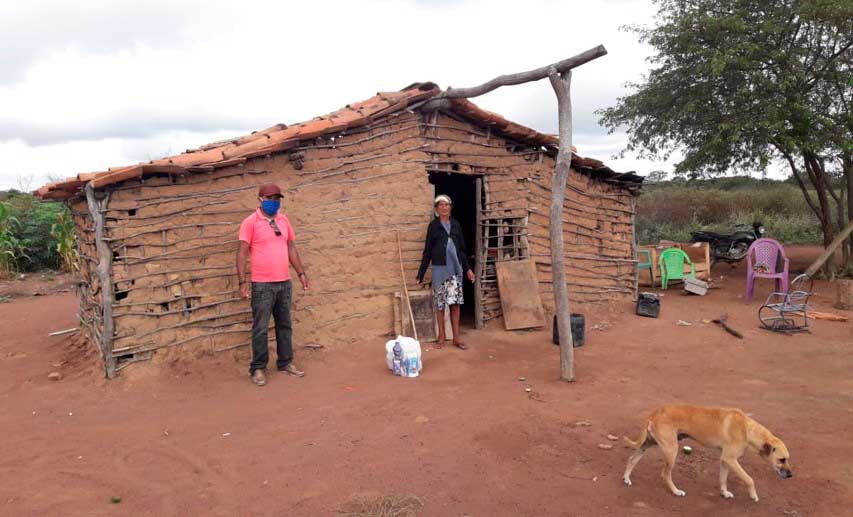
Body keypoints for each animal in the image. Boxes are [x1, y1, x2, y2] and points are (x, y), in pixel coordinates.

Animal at [620, 404, 792, 500]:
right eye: (781, 460)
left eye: (787, 459)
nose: (791, 475)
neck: (747, 429)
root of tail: (654, 413)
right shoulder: (731, 459)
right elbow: (749, 479)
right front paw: (753, 495)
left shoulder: (725, 460)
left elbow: (723, 479)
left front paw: (724, 493)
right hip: (671, 450)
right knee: (665, 474)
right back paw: (676, 491)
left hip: (647, 444)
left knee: (632, 459)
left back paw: (627, 478)